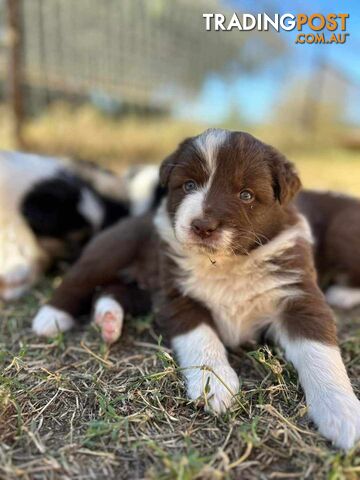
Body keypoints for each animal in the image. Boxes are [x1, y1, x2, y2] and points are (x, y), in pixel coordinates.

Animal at [32, 128, 360, 450]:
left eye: (246, 195)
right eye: (189, 185)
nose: (203, 226)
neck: (228, 264)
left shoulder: (298, 294)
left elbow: (319, 352)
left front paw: (342, 412)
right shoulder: (177, 295)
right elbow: (202, 338)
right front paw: (215, 384)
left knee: (110, 290)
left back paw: (109, 321)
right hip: (115, 247)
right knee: (81, 278)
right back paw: (51, 318)